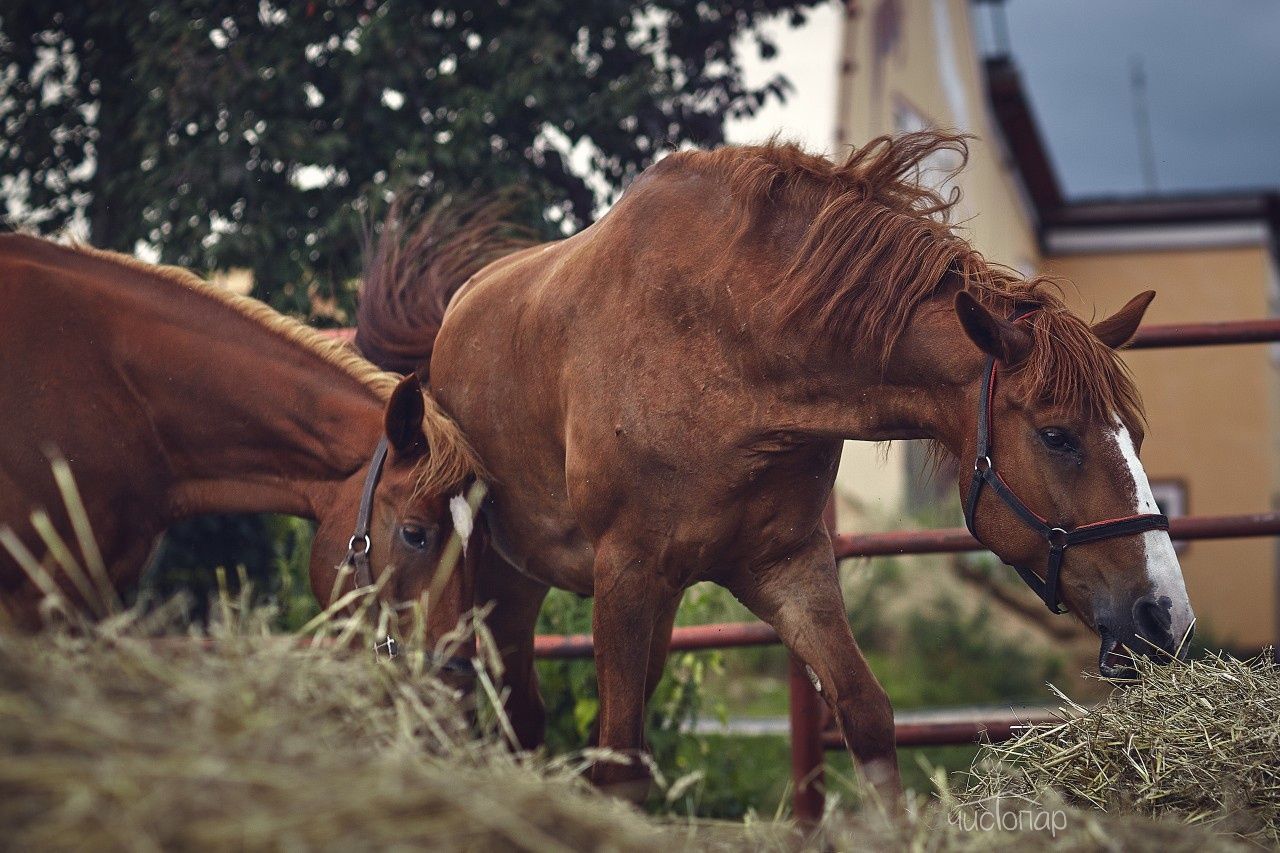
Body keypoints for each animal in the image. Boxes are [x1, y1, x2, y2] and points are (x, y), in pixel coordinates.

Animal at [355, 129, 1192, 794]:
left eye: (1134, 435)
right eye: (1057, 435)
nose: (1166, 615)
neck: (733, 346)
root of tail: (448, 324)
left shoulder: (785, 565)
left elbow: (867, 715)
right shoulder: (626, 571)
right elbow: (620, 760)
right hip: (497, 580)